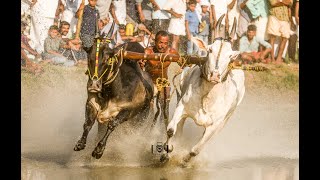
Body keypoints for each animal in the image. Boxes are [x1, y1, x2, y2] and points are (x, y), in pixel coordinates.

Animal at [161, 15, 246, 165]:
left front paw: (184, 161)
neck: (207, 97)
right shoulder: (181, 106)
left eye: (230, 56)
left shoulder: (215, 125)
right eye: (210, 50)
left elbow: (196, 150)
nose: (215, 75)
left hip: (225, 120)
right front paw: (166, 154)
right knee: (179, 128)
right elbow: (171, 129)